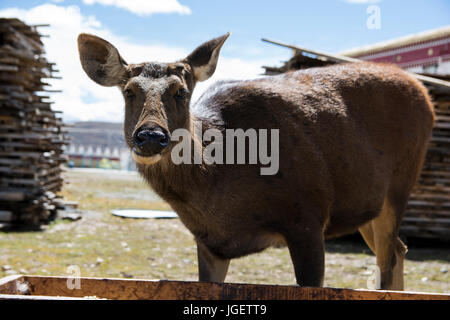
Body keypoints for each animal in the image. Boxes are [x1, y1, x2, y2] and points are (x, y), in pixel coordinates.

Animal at [78, 32, 436, 290]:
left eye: (181, 92)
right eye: (128, 91)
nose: (151, 136)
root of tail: (425, 94)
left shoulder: (308, 217)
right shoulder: (209, 243)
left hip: (399, 187)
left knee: (388, 260)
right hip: (366, 207)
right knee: (398, 250)